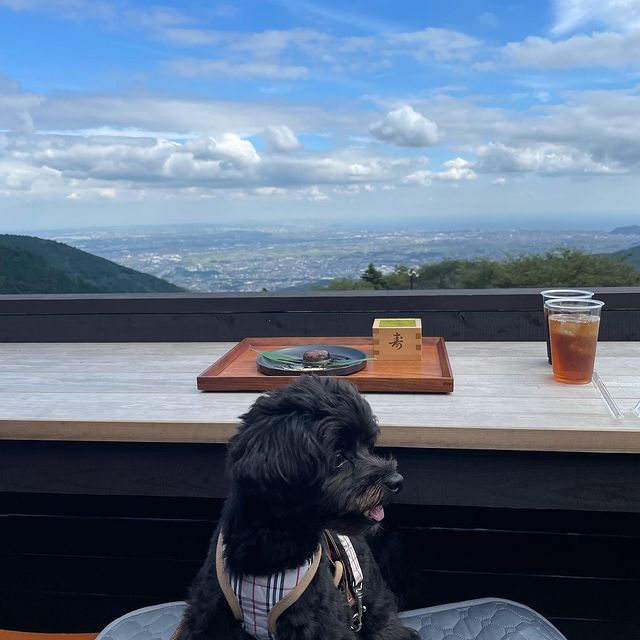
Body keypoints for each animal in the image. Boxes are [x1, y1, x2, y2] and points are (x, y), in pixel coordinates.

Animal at [179, 376, 420, 640]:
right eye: (338, 457)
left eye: (368, 447)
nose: (397, 481)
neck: (273, 548)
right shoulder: (209, 617)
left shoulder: (320, 622)